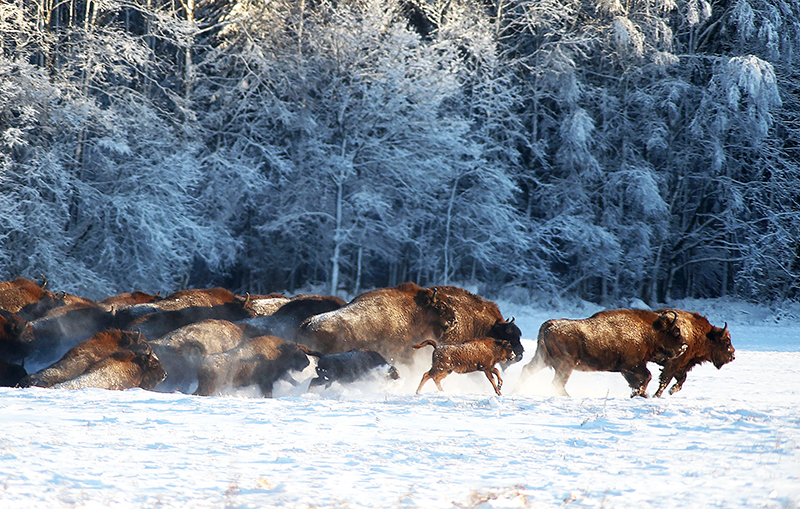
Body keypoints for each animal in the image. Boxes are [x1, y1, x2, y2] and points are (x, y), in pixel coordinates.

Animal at [520, 308, 688, 398]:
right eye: (675, 331)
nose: (684, 346)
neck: (648, 331)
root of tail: (549, 325)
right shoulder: (633, 365)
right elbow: (647, 376)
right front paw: (637, 393)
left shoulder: (626, 370)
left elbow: (638, 381)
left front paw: (640, 395)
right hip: (566, 365)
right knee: (557, 382)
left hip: (543, 359)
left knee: (527, 370)